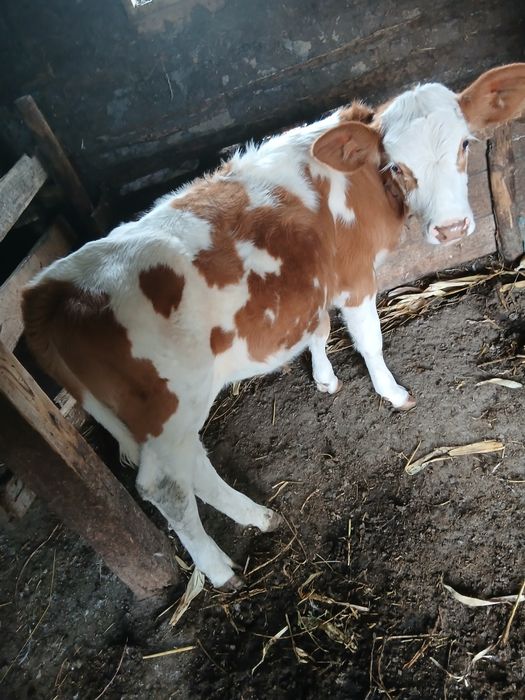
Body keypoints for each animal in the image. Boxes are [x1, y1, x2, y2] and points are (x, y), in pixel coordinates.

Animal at [22, 64, 525, 589]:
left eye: (465, 144)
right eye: (396, 166)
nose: (451, 229)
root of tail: (49, 288)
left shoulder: (313, 283)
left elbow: (318, 330)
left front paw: (325, 379)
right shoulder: (354, 278)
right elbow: (368, 340)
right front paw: (391, 392)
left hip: (163, 418)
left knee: (193, 466)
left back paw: (259, 517)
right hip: (167, 408)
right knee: (165, 487)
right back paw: (218, 568)